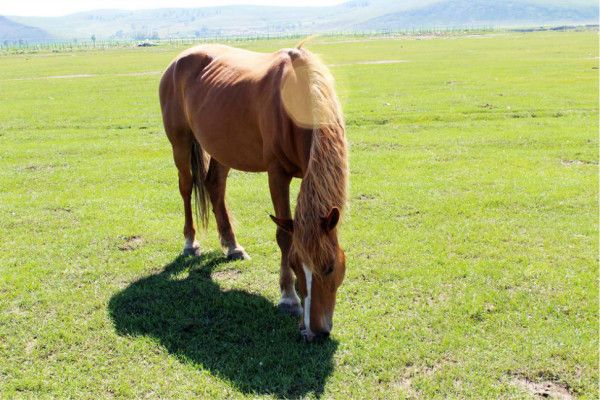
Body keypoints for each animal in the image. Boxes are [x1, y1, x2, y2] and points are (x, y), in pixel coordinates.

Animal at [159, 42, 350, 340]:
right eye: (295, 265)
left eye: (330, 267)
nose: (314, 331)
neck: (299, 94)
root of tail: (178, 61)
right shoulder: (277, 174)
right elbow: (284, 236)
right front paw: (288, 298)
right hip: (180, 142)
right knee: (186, 187)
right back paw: (190, 242)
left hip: (222, 147)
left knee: (215, 186)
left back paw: (232, 245)